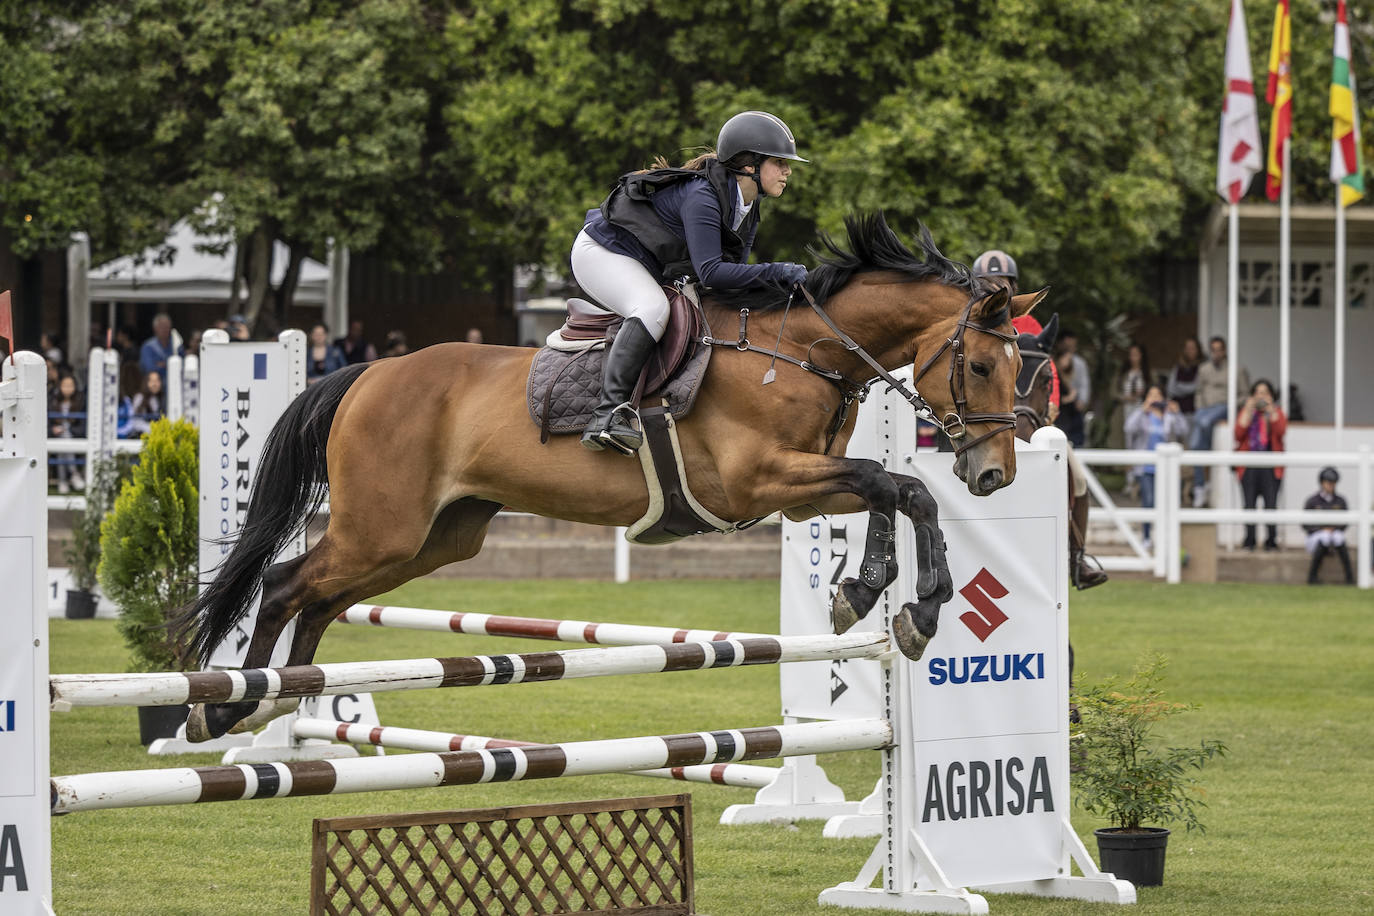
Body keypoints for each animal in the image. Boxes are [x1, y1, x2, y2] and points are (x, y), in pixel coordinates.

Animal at [179, 211, 1038, 741]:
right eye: (982, 364)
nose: (994, 473)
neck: (800, 351)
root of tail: (367, 374)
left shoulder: (797, 493)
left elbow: (901, 488)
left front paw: (907, 606)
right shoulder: (760, 482)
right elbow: (885, 481)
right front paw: (873, 595)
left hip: (430, 540)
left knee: (319, 595)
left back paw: (276, 701)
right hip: (382, 528)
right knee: (287, 583)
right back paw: (225, 712)